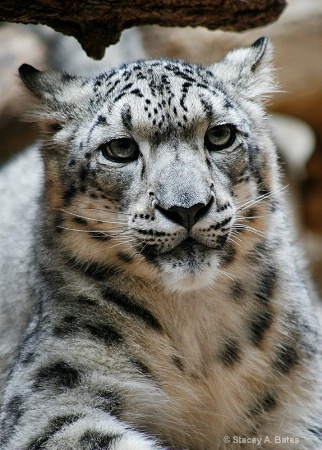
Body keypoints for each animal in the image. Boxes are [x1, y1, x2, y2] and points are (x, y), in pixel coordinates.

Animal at [0, 37, 320, 448]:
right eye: (120, 148)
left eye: (220, 136)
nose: (187, 208)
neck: (196, 325)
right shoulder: (53, 396)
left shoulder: (299, 406)